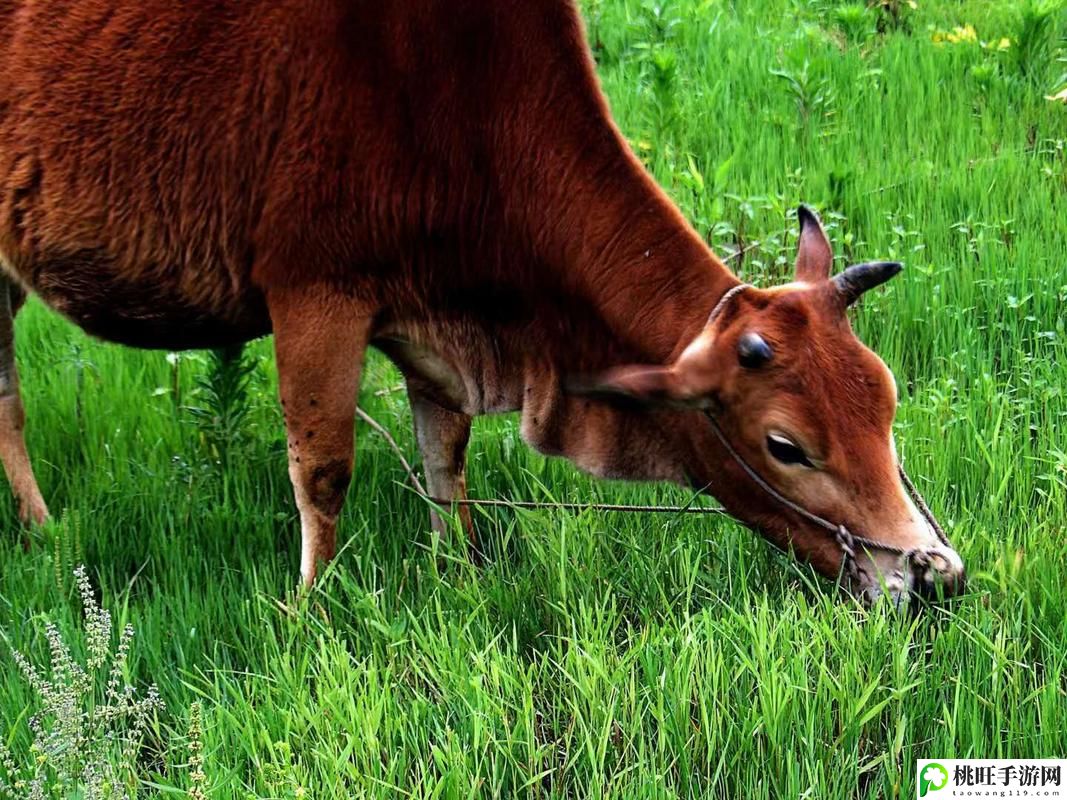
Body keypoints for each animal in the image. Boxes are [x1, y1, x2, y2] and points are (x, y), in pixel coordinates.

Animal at [0, 0, 964, 601]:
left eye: (884, 406)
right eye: (784, 446)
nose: (935, 576)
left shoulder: (437, 324)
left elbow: (445, 455)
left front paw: (457, 571)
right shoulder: (315, 294)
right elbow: (323, 471)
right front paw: (310, 610)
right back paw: (42, 531)